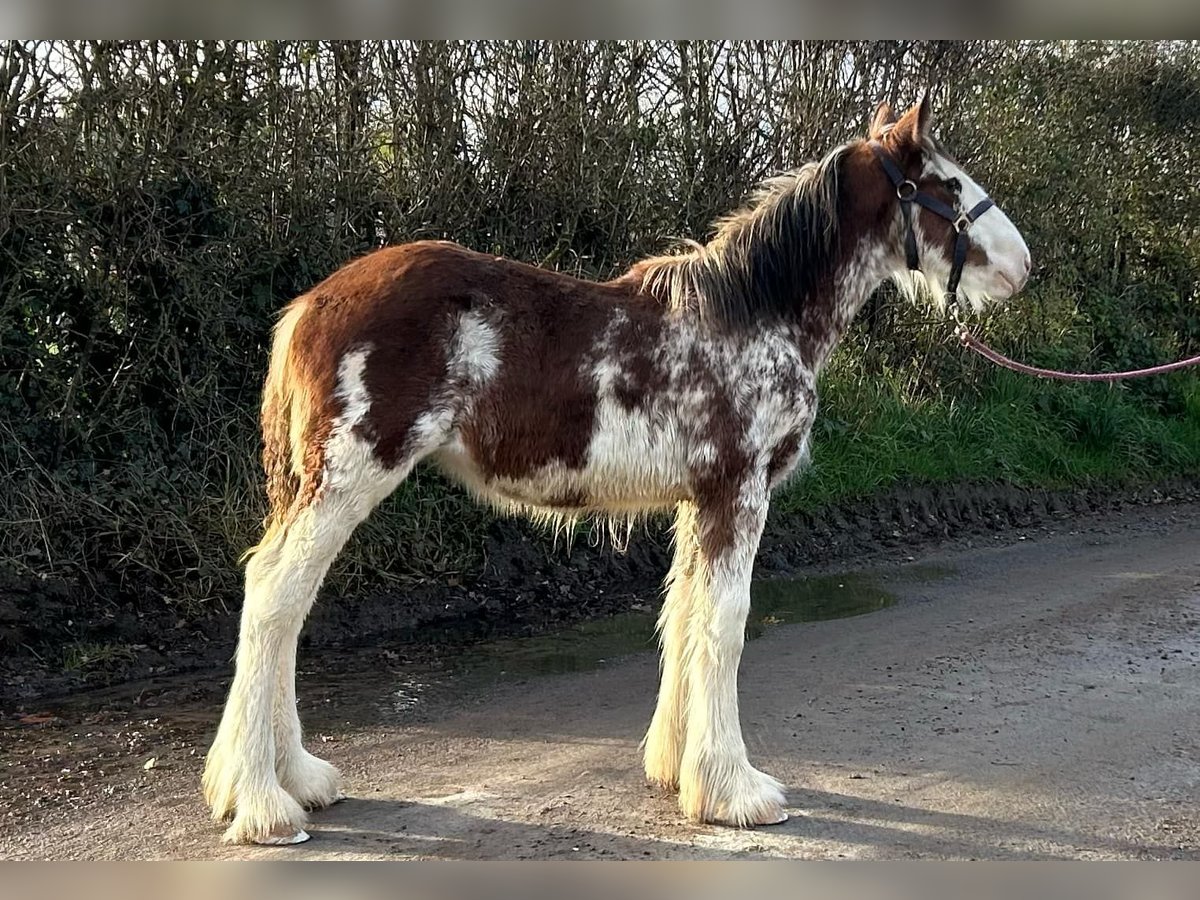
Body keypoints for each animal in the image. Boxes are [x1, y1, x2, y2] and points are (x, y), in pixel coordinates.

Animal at [199, 95, 1032, 844]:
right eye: (946, 184)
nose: (1024, 266)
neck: (756, 314)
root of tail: (311, 304)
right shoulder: (737, 493)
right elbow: (726, 627)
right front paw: (735, 792)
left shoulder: (699, 502)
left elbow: (685, 616)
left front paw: (678, 770)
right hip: (348, 477)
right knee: (274, 598)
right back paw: (264, 806)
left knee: (286, 606)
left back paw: (295, 779)